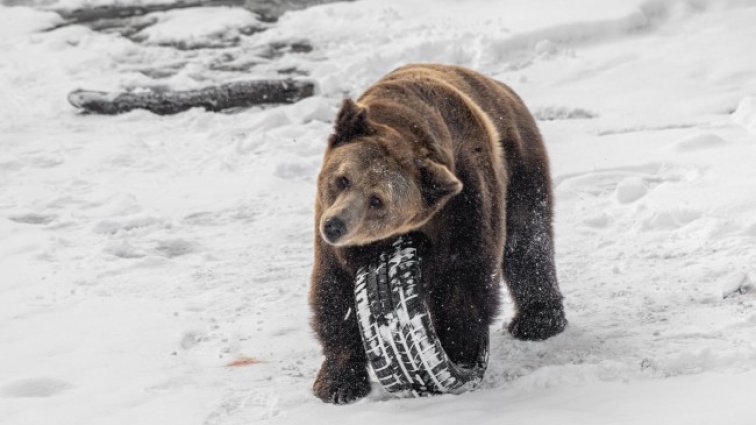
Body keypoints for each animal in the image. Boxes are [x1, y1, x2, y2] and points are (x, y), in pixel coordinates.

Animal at [308, 63, 568, 404]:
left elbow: (465, 276)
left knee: (528, 240)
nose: (335, 225)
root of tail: (500, 86)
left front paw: (457, 352)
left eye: (377, 200)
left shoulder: (465, 200)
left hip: (520, 161)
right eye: (342, 179)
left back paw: (538, 321)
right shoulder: (337, 241)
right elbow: (335, 293)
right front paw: (338, 382)